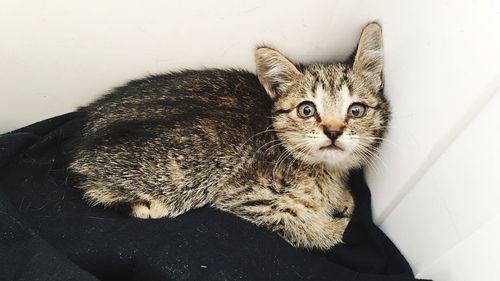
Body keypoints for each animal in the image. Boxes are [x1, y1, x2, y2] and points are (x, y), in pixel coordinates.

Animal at [68, 23, 388, 248]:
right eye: (307, 109)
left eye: (356, 110)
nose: (333, 132)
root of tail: (84, 141)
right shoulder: (249, 196)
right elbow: (320, 233)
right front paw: (335, 220)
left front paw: (343, 198)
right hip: (189, 176)